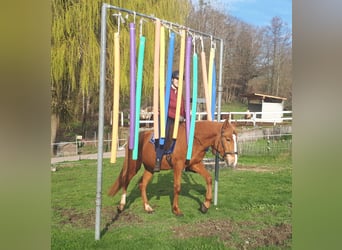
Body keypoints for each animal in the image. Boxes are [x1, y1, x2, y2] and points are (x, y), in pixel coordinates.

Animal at [107, 118, 238, 215]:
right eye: (228, 139)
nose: (233, 161)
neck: (193, 140)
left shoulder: (194, 164)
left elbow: (209, 179)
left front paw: (205, 205)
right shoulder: (178, 166)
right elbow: (177, 187)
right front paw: (176, 209)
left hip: (150, 168)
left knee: (142, 184)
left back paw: (147, 207)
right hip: (134, 166)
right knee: (125, 181)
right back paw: (121, 206)